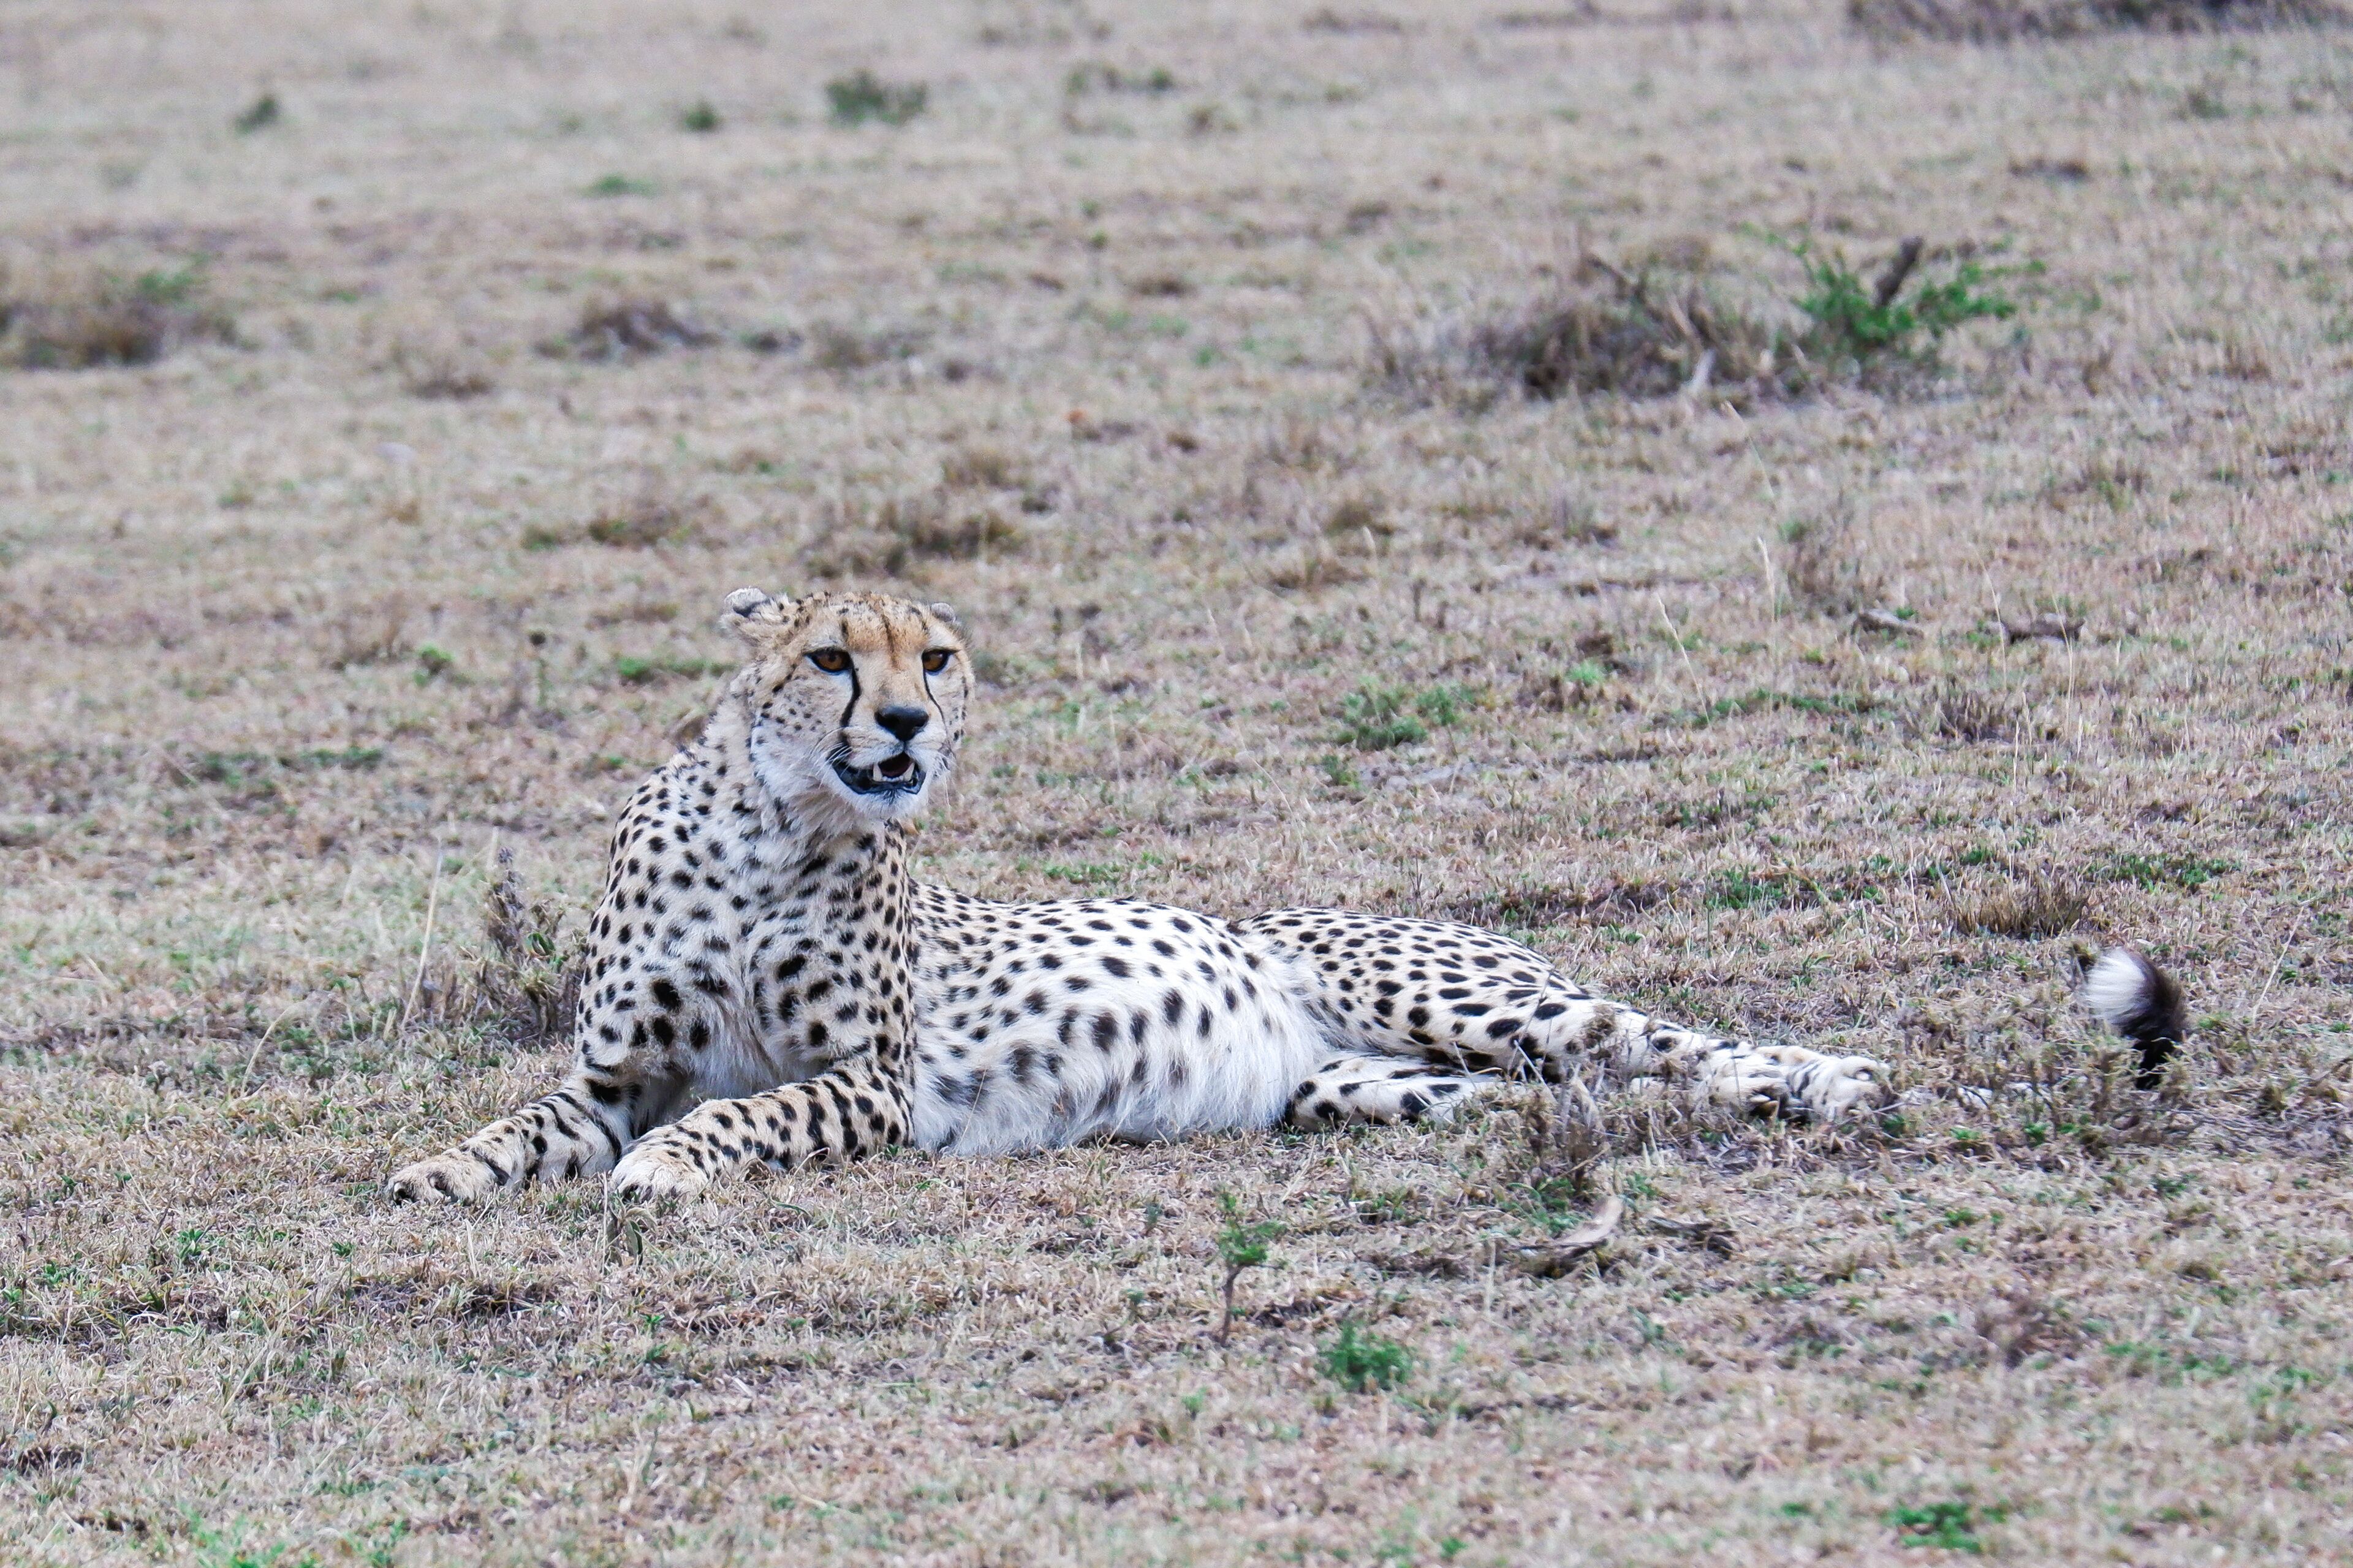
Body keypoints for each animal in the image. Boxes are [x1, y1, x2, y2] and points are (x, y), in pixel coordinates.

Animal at [386, 586, 1896, 1206]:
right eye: (830, 657)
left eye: (935, 656)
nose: (906, 723)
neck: (774, 827)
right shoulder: (613, 1074)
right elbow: (523, 1123)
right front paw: (438, 1170)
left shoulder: (871, 1083)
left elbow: (741, 1109)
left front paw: (663, 1171)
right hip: (1378, 1086)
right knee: (1579, 1096)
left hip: (1474, 1002)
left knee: (1662, 1041)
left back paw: (1834, 1082)